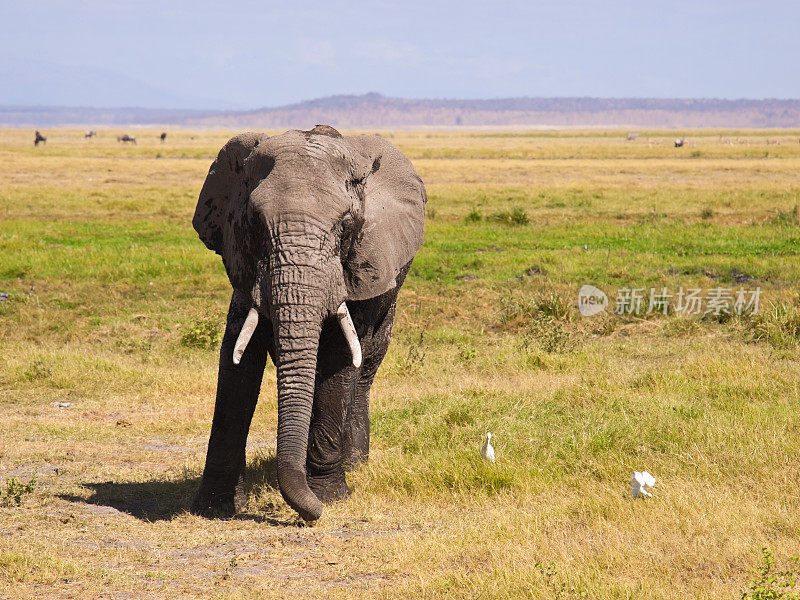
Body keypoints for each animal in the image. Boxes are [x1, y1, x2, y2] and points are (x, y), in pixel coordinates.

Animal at [189, 125, 424, 520]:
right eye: (253, 223)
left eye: (346, 225)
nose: (311, 514)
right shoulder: (247, 268)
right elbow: (238, 358)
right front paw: (214, 507)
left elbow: (339, 356)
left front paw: (328, 499)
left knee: (366, 364)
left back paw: (354, 464)